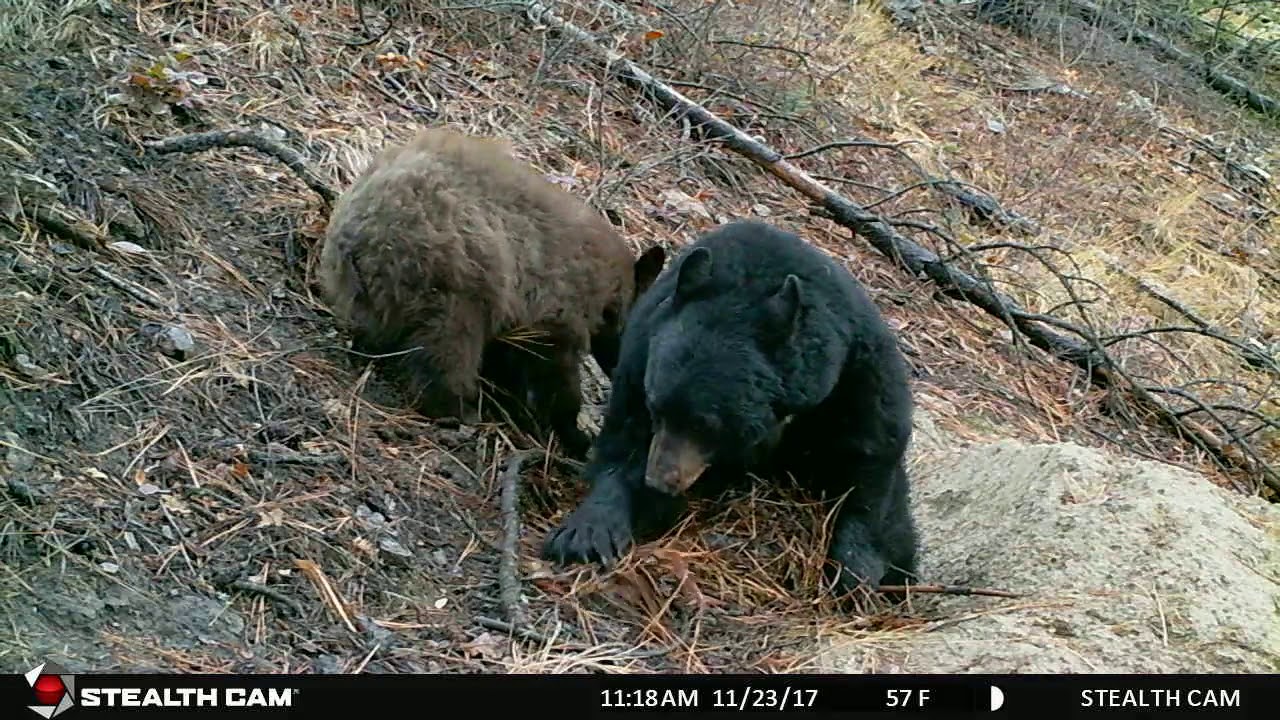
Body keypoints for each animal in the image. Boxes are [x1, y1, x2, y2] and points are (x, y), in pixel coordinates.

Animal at [318, 127, 667, 458]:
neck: (611, 287)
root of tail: (360, 235)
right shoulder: (557, 306)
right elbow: (553, 371)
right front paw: (574, 433)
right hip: (454, 267)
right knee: (449, 343)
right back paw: (456, 407)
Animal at [541, 220, 919, 599]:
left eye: (706, 425)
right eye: (656, 406)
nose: (660, 480)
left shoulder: (857, 376)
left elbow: (869, 460)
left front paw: (854, 569)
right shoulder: (640, 353)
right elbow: (622, 440)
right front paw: (588, 532)